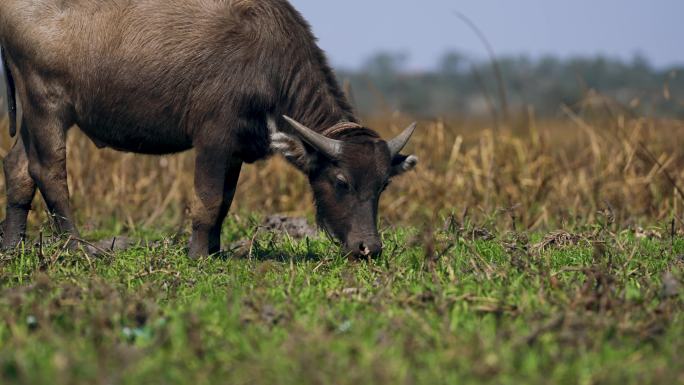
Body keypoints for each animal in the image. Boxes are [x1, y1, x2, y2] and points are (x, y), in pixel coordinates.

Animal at [1, 1, 416, 258]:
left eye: (383, 185)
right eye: (341, 181)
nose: (369, 248)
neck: (267, 62)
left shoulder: (235, 148)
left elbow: (226, 201)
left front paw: (215, 250)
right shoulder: (213, 138)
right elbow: (209, 199)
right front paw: (199, 254)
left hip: (32, 115)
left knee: (18, 167)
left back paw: (11, 247)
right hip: (47, 105)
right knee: (49, 171)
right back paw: (76, 248)